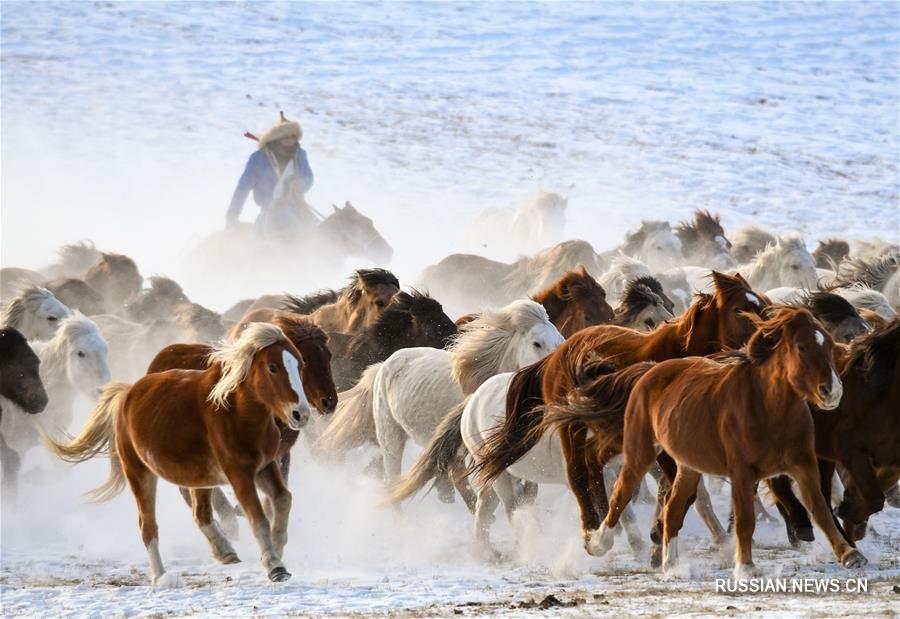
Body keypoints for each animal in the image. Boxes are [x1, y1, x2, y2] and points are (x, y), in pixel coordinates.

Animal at [46, 324, 312, 588]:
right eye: (273, 367)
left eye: (300, 364)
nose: (301, 414)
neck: (237, 413)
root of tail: (127, 394)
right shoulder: (239, 474)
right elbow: (258, 518)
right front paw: (275, 567)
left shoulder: (264, 466)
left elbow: (283, 499)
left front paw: (277, 547)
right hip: (139, 473)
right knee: (148, 526)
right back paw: (160, 577)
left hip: (199, 477)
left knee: (201, 514)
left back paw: (224, 551)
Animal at [580, 308, 868, 576]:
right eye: (801, 346)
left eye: (829, 344)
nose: (832, 392)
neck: (767, 408)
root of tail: (649, 369)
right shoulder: (742, 472)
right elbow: (745, 519)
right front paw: (746, 566)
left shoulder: (803, 465)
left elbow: (820, 509)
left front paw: (850, 554)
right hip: (640, 452)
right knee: (621, 493)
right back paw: (596, 544)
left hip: (688, 466)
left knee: (673, 510)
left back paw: (671, 565)